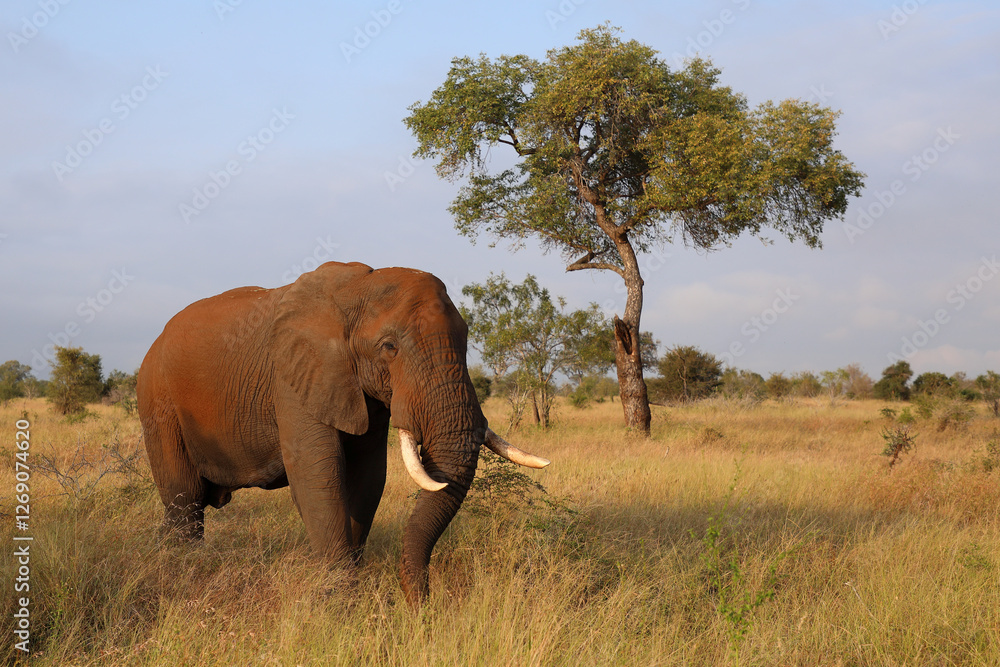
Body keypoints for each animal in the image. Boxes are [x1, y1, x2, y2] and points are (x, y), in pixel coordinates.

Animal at [136, 261, 548, 603]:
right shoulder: (295, 377)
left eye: (465, 340)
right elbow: (319, 474)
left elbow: (367, 476)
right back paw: (183, 570)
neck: (357, 289)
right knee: (185, 498)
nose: (422, 608)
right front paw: (340, 602)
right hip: (158, 401)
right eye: (389, 347)